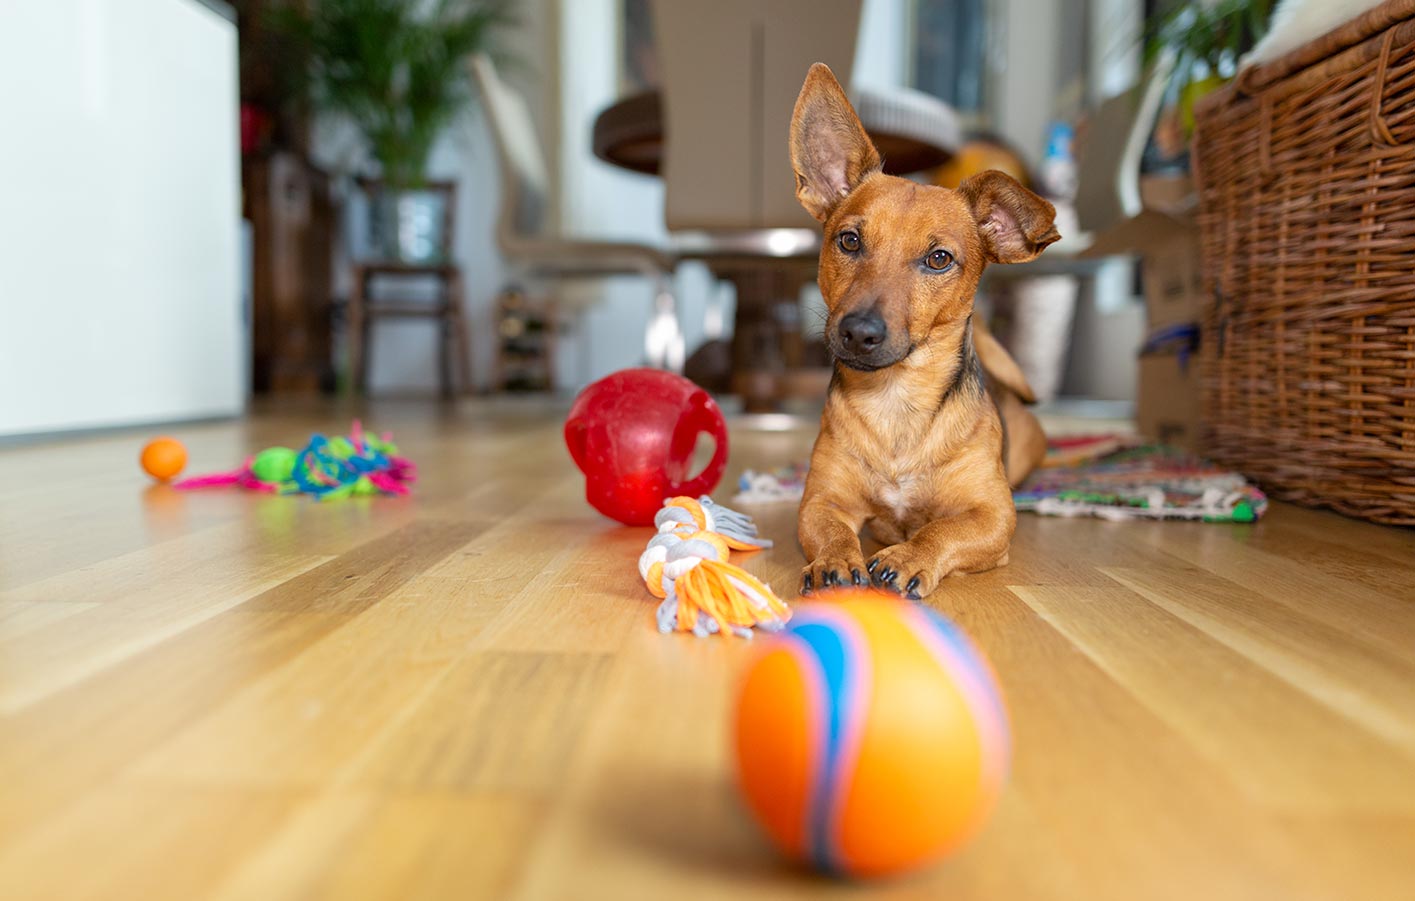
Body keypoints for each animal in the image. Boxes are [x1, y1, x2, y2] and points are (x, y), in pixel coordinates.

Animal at [792, 63, 1058, 596]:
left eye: (939, 259)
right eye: (848, 240)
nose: (858, 332)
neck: (896, 402)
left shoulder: (993, 516)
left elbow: (942, 530)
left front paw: (910, 556)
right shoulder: (820, 501)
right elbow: (832, 531)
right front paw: (835, 560)